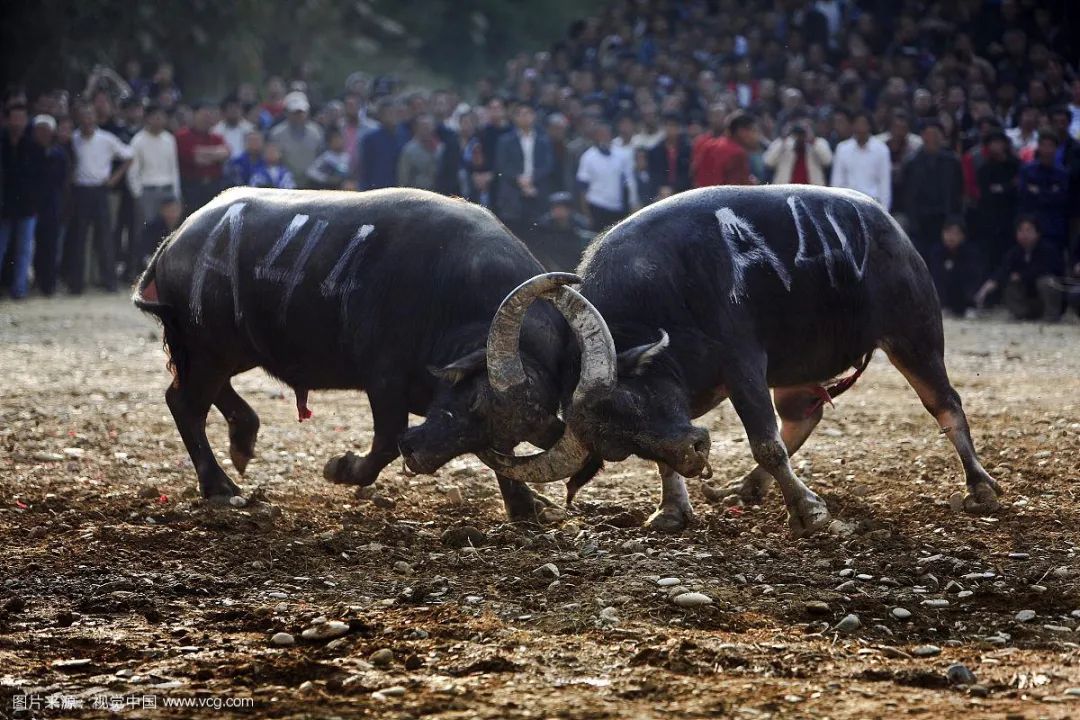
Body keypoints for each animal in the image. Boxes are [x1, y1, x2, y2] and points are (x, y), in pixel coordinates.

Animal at [127, 188, 609, 520]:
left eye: (497, 434)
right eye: (473, 400)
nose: (420, 454)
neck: (453, 299)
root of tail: (176, 238)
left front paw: (526, 506)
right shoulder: (384, 380)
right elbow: (385, 440)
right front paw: (342, 469)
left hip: (225, 350)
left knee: (204, 393)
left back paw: (244, 440)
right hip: (208, 348)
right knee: (184, 402)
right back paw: (220, 485)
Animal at [483, 185, 1002, 535]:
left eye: (630, 402)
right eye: (619, 446)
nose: (696, 453)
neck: (659, 300)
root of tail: (887, 223)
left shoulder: (743, 365)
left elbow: (765, 443)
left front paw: (810, 511)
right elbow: (671, 461)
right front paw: (672, 509)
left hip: (915, 335)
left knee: (946, 404)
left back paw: (980, 487)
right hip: (798, 371)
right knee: (802, 417)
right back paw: (748, 487)